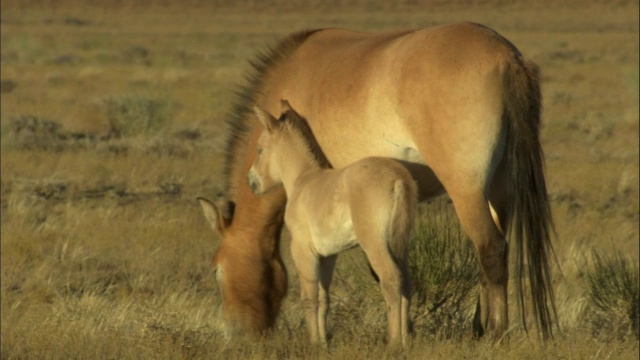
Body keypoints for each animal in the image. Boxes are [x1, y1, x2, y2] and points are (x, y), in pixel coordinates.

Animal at [248, 99, 418, 346]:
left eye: (260, 149)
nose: (251, 182)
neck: (303, 181)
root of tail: (398, 178)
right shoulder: (327, 256)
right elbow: (323, 298)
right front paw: (324, 343)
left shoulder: (302, 251)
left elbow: (309, 297)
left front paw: (313, 343)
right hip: (400, 242)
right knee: (406, 282)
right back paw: (406, 340)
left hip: (374, 243)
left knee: (391, 279)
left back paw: (394, 342)